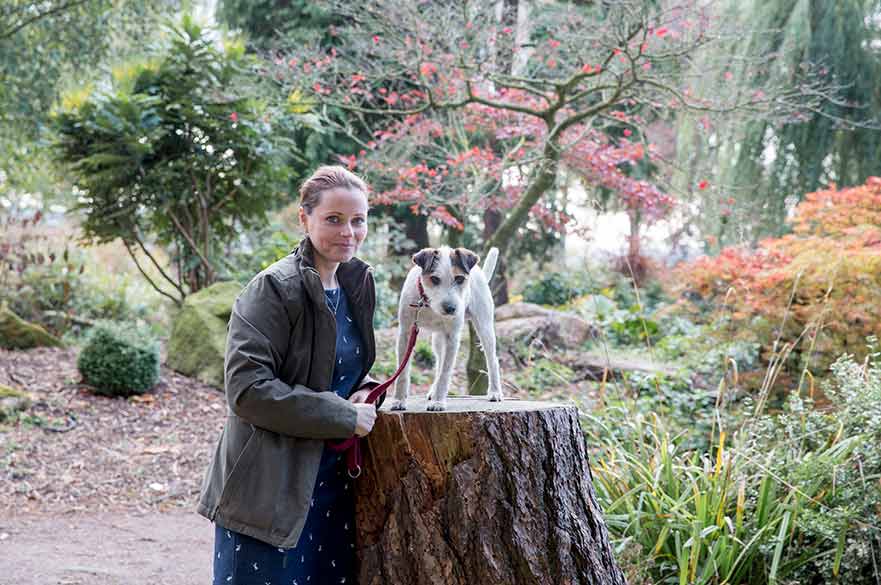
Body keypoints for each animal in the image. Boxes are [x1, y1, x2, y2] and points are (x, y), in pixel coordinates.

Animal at [390, 246, 502, 410]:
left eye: (460, 279)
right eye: (435, 279)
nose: (450, 308)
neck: (428, 304)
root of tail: (478, 271)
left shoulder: (452, 338)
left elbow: (445, 371)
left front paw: (438, 402)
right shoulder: (406, 333)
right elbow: (403, 371)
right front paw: (398, 400)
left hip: (485, 328)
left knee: (492, 360)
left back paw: (495, 392)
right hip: (437, 340)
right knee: (439, 361)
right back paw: (433, 390)